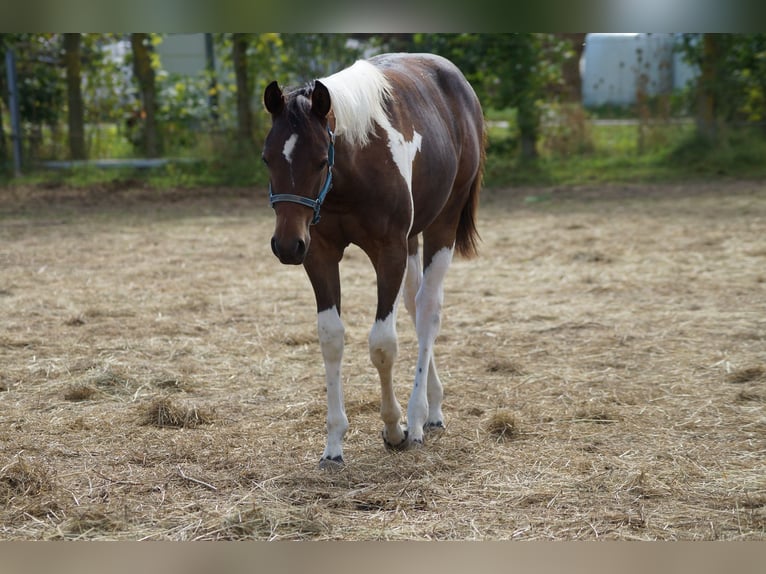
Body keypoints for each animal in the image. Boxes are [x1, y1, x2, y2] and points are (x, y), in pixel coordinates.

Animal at [260, 53, 484, 468]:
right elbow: (331, 338)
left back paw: (417, 417)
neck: (353, 169)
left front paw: (395, 428)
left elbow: (382, 344)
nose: (286, 245)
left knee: (428, 311)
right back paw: (433, 407)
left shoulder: (389, 251)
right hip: (412, 239)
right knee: (413, 304)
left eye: (320, 161)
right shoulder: (319, 253)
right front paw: (333, 443)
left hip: (442, 224)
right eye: (267, 159)